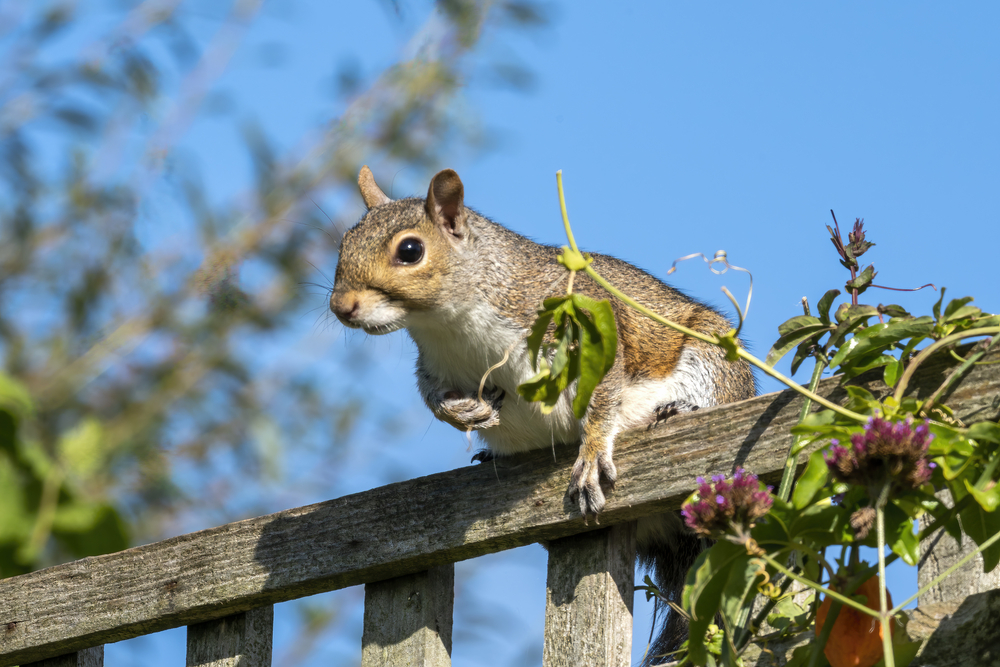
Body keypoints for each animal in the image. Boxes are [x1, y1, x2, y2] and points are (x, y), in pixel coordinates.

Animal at [330, 167, 756, 664]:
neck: (451, 325)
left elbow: (603, 401)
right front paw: (465, 412)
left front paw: (590, 457)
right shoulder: (434, 367)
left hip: (712, 359)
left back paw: (680, 409)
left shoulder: (589, 334)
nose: (340, 307)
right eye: (345, 242)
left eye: (410, 250)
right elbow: (433, 399)